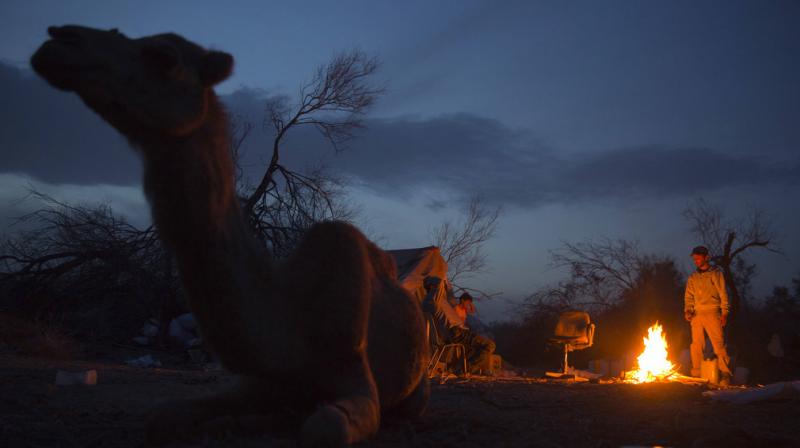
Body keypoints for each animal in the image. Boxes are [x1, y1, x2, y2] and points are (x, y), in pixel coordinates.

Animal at [31, 25, 429, 446]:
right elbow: (161, 415)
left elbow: (324, 427)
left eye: (164, 56)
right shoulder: (258, 382)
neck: (291, 321)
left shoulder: (353, 373)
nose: (60, 39)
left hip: (417, 388)